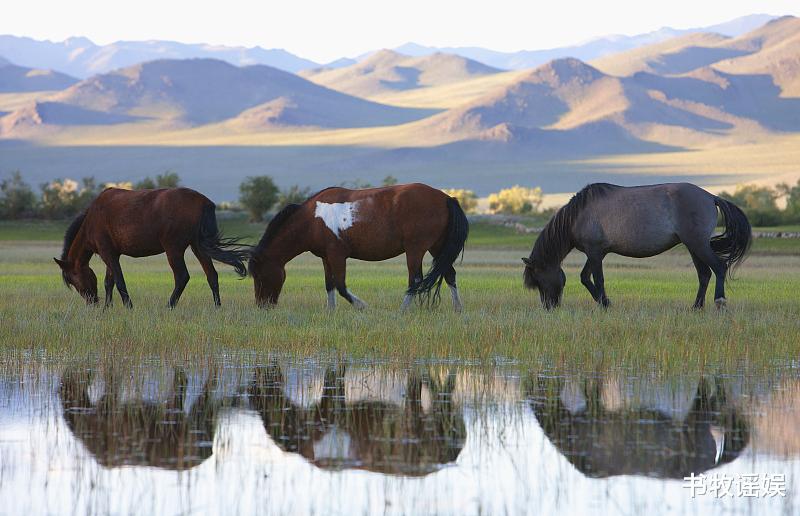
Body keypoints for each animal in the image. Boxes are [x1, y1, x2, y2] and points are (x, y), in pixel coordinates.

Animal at [55, 189, 248, 310]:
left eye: (73, 279)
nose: (92, 301)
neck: (91, 220)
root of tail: (204, 202)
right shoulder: (112, 254)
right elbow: (109, 282)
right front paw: (107, 308)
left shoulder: (107, 253)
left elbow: (119, 281)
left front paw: (128, 307)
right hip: (198, 246)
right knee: (212, 275)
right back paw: (217, 307)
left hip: (174, 249)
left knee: (182, 277)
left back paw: (169, 306)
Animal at [247, 182, 466, 308]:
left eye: (258, 275)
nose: (262, 306)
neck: (312, 219)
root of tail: (446, 198)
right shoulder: (326, 257)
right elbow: (330, 285)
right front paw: (331, 312)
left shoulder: (337, 255)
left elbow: (341, 286)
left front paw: (362, 306)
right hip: (436, 247)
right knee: (449, 274)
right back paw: (458, 310)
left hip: (416, 249)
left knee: (415, 280)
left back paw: (402, 311)